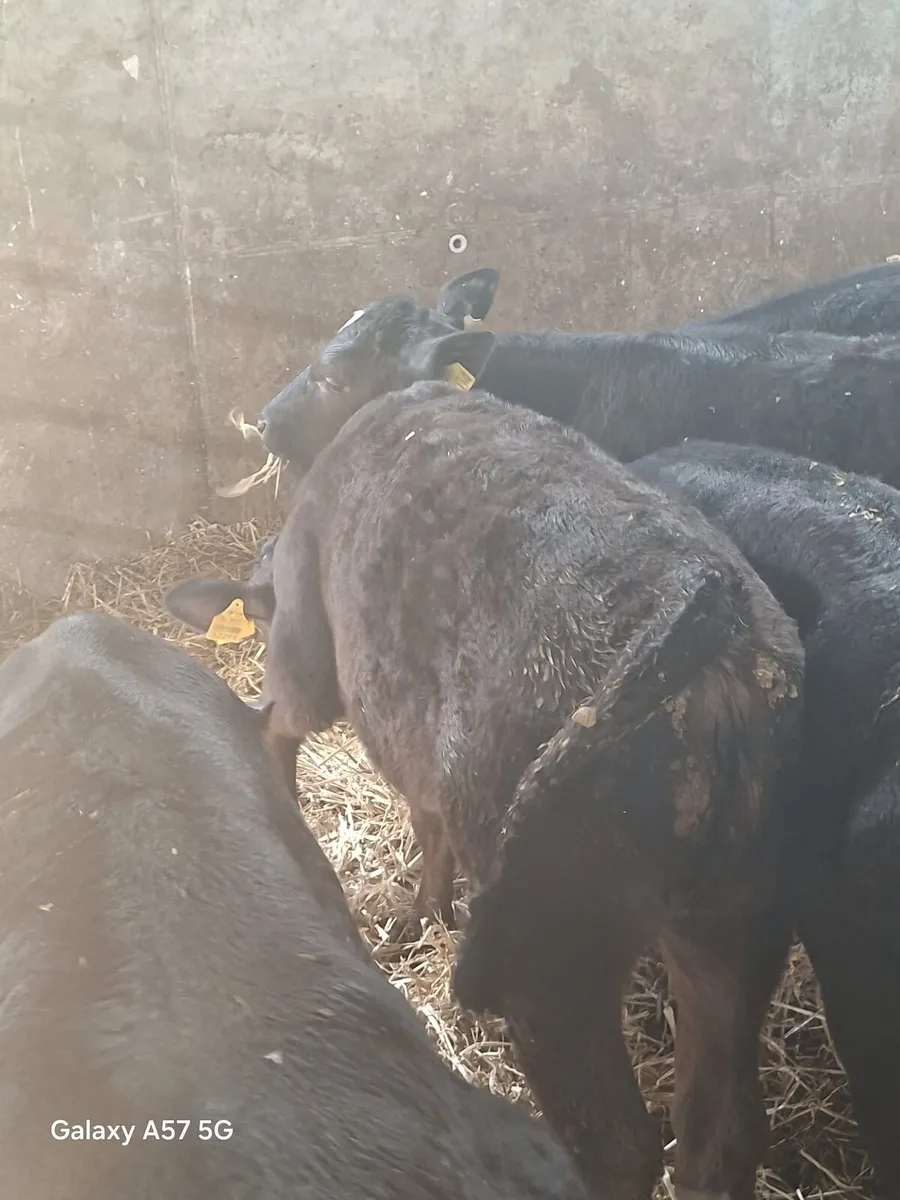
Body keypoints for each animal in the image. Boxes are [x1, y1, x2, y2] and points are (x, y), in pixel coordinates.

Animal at [167, 381, 805, 1200]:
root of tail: (704, 616)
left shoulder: (309, 642)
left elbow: (280, 719)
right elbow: (429, 818)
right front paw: (427, 911)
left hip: (554, 953)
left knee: (619, 1145)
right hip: (735, 922)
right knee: (717, 1136)